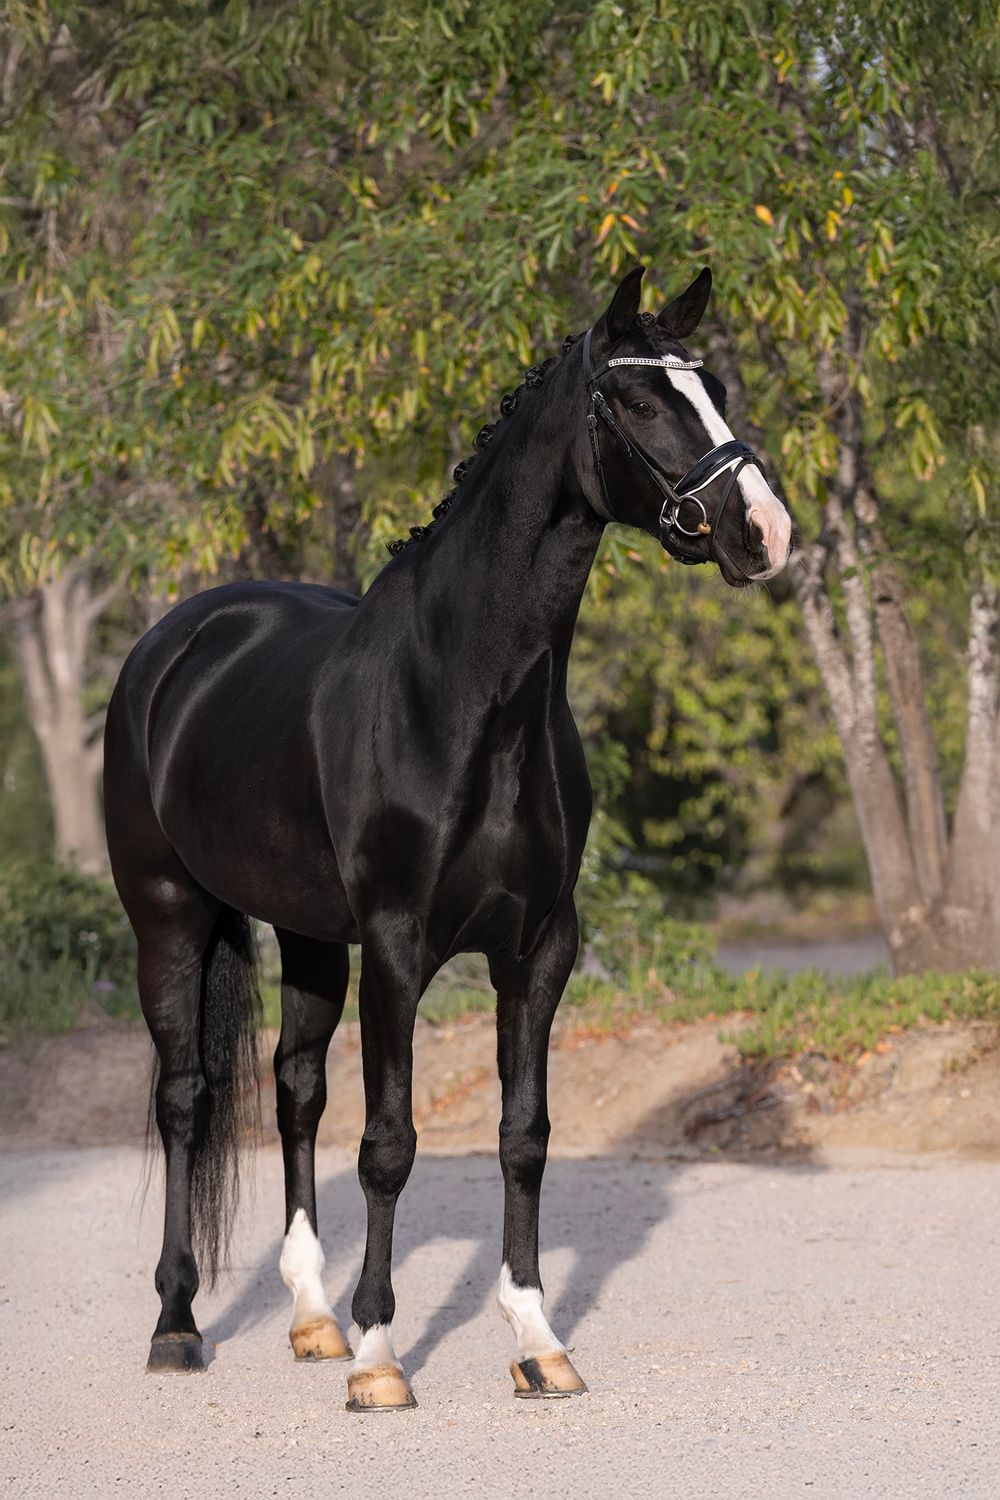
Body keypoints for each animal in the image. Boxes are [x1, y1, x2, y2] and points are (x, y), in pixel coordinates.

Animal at [104, 264, 792, 1409]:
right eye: (638, 399)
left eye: (719, 389)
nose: (766, 532)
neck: (464, 694)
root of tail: (175, 643)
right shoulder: (396, 946)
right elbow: (390, 1143)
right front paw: (383, 1360)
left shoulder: (539, 949)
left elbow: (523, 1136)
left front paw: (538, 1341)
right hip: (171, 918)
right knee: (187, 1098)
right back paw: (176, 1326)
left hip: (307, 938)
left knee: (294, 1090)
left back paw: (311, 1320)